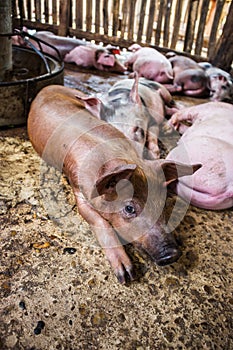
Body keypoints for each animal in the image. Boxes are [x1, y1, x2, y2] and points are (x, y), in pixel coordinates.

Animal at [27, 85, 200, 284]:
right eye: (129, 208)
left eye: (163, 204)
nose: (172, 253)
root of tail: (48, 87)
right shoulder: (79, 189)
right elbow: (98, 220)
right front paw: (127, 275)